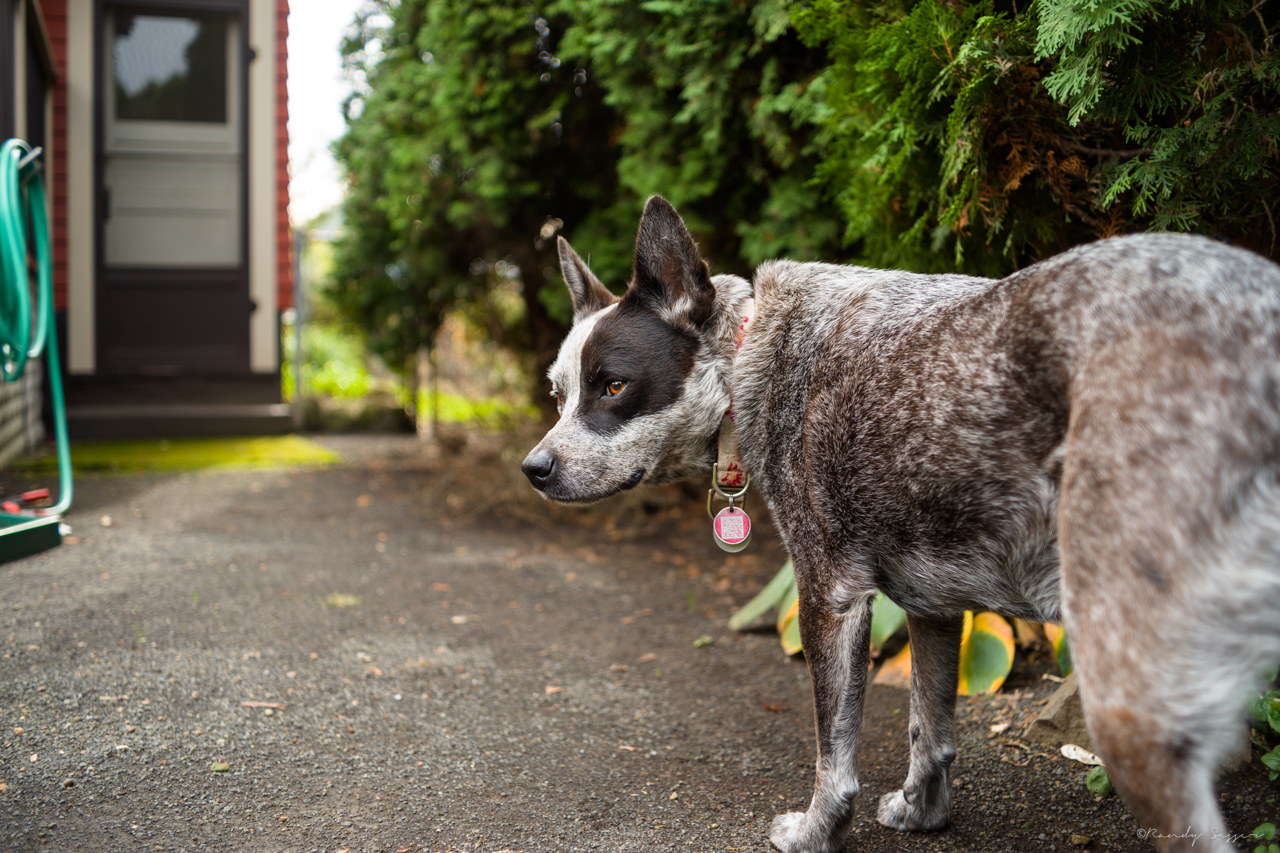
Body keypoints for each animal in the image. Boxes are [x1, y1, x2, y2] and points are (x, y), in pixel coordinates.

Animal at [517, 195, 1280, 845]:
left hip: (1124, 687)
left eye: (614, 386)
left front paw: (816, 832)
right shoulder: (934, 603)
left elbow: (834, 752)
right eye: (557, 393)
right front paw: (923, 812)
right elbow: (928, 727)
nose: (535, 468)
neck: (752, 348)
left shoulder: (830, 596)